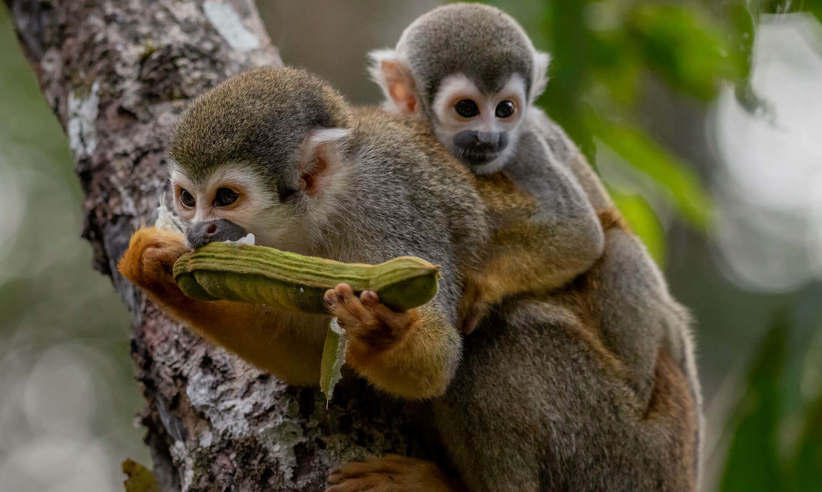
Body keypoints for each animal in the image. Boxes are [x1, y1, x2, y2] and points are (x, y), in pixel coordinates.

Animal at [118, 67, 700, 491]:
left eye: (226, 197)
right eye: (187, 198)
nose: (199, 231)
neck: (324, 211)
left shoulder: (392, 207)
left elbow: (437, 360)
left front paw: (380, 331)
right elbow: (307, 363)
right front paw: (158, 268)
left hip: (620, 453)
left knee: (497, 343)